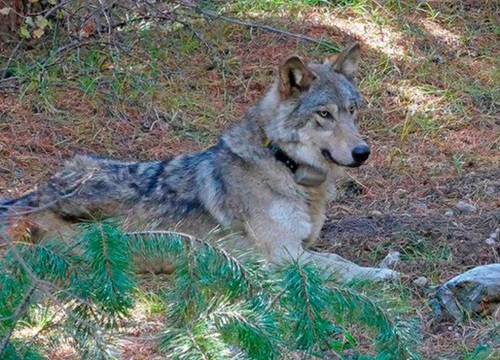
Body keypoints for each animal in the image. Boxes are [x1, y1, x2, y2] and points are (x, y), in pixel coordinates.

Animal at [0, 43, 398, 282]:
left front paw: (384, 264)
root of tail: (34, 197)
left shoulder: (300, 246)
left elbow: (339, 260)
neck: (284, 166)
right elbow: (340, 267)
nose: (363, 152)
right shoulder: (283, 256)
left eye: (352, 111)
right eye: (324, 115)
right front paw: (379, 275)